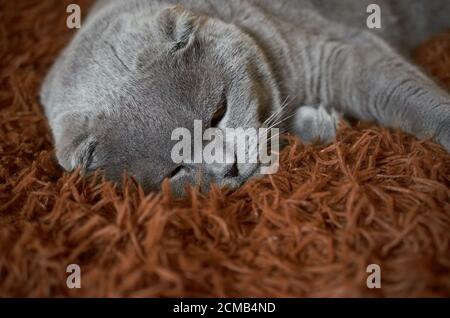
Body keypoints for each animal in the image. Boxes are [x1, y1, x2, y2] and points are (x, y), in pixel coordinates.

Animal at [41, 0, 450, 195]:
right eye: (175, 171)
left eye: (218, 112)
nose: (229, 168)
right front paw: (319, 122)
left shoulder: (340, 52)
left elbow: (403, 94)